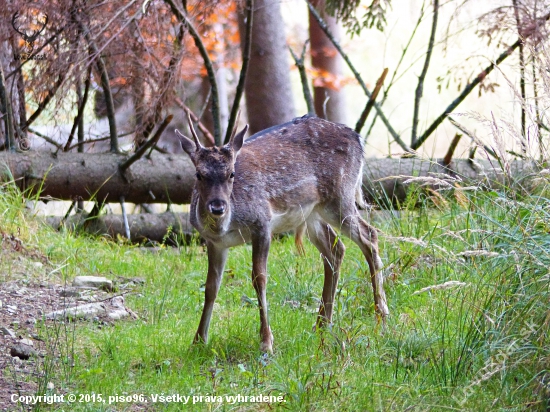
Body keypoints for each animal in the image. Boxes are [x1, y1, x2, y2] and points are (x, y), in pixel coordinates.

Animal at [179, 114, 390, 352]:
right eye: (199, 174)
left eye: (231, 173)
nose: (217, 207)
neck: (224, 227)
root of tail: (358, 139)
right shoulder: (214, 242)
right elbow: (211, 286)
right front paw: (198, 341)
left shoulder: (262, 224)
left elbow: (259, 278)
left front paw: (266, 342)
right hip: (313, 213)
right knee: (335, 249)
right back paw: (322, 324)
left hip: (340, 198)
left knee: (369, 235)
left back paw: (381, 315)